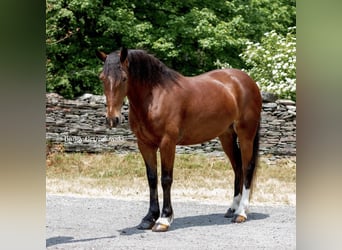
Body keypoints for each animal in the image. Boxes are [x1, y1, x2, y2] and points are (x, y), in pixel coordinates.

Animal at [96, 47, 262, 232]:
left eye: (124, 78)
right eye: (102, 78)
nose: (113, 119)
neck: (156, 97)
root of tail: (246, 81)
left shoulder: (168, 143)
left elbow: (166, 179)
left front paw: (163, 219)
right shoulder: (145, 144)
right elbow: (152, 179)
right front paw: (149, 218)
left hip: (246, 134)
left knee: (247, 167)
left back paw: (241, 212)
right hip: (226, 136)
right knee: (237, 168)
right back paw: (233, 208)